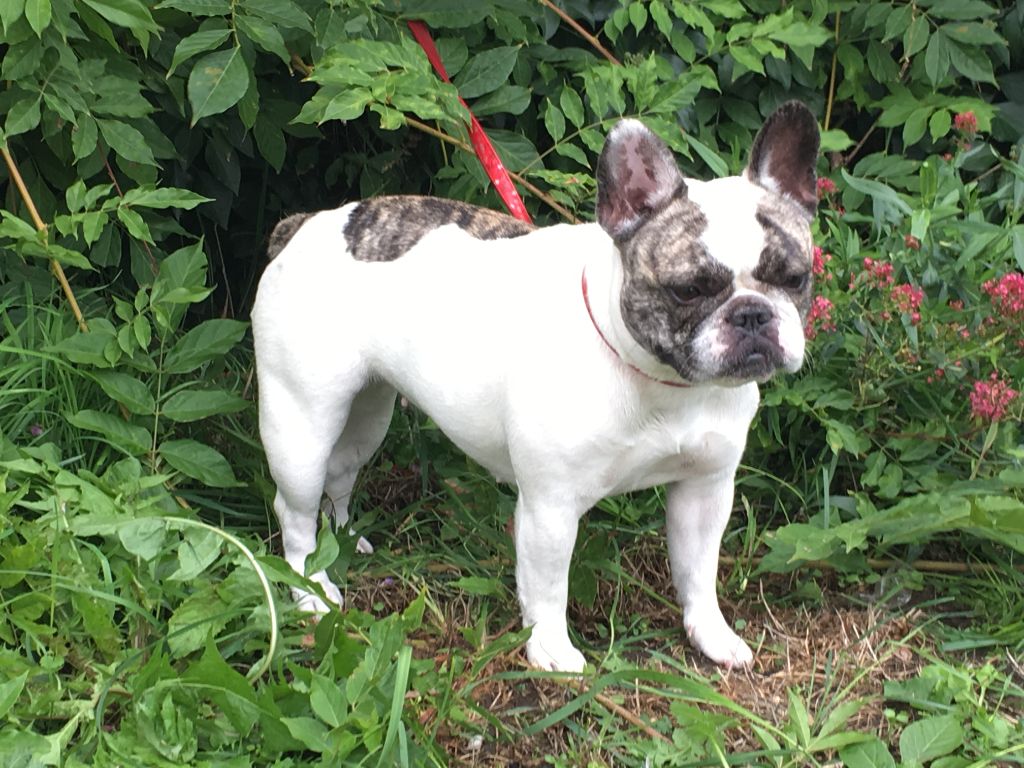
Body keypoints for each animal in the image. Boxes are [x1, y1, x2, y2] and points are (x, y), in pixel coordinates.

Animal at [251, 100, 819, 671]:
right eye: (689, 290)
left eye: (796, 279)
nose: (753, 314)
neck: (663, 384)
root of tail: (304, 224)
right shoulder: (551, 507)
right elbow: (548, 586)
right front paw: (551, 650)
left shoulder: (706, 489)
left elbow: (698, 570)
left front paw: (711, 634)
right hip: (301, 426)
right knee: (294, 511)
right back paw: (311, 589)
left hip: (367, 413)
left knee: (341, 474)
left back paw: (343, 540)